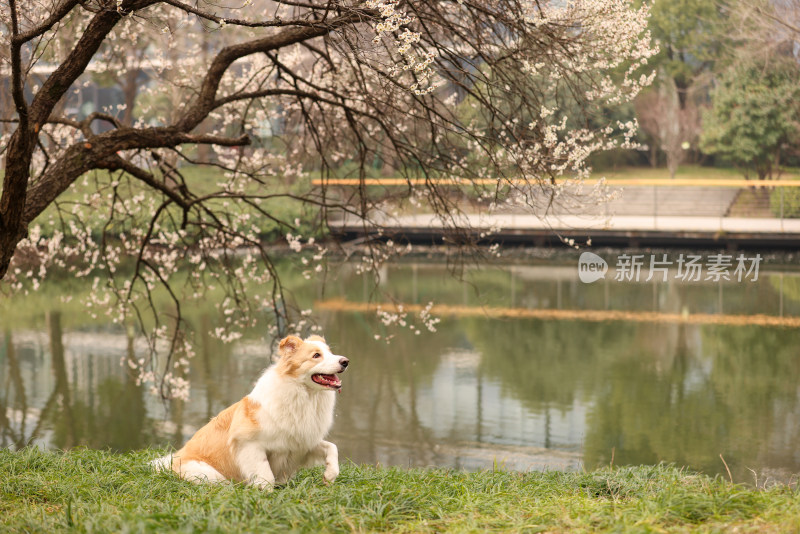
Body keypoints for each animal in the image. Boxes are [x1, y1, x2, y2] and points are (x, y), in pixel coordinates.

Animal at [152, 338, 348, 492]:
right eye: (316, 355)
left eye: (330, 353)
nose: (345, 361)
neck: (305, 395)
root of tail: (172, 461)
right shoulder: (250, 445)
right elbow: (266, 475)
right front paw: (264, 492)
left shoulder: (302, 441)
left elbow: (332, 447)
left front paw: (330, 475)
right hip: (209, 474)